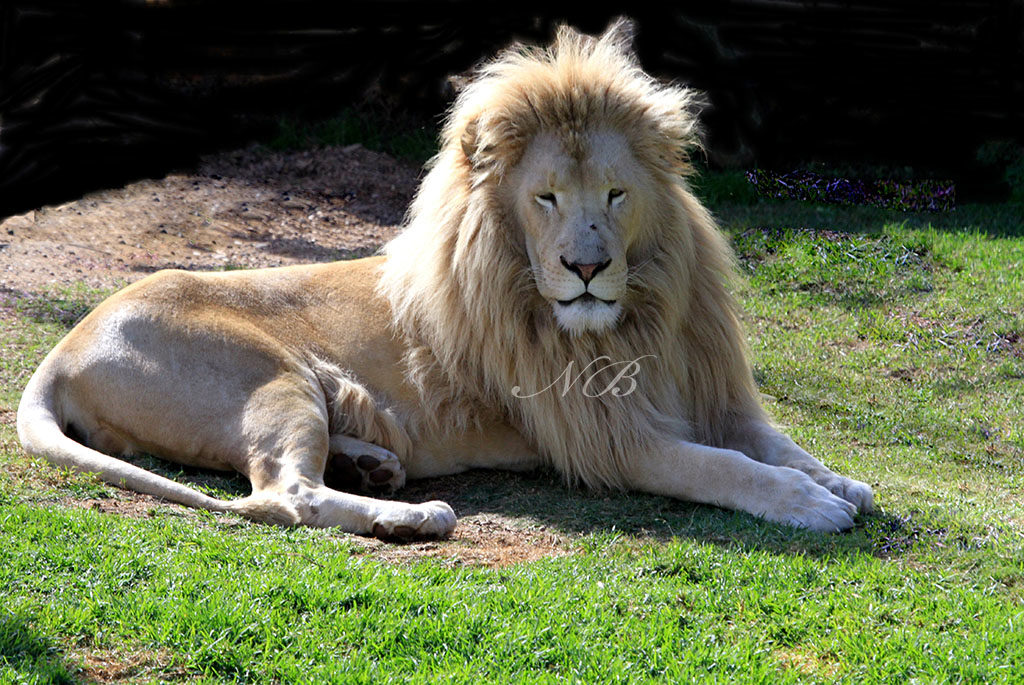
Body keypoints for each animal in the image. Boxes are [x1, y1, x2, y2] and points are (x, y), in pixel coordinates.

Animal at [16, 21, 872, 540]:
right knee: (282, 494)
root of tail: (63, 346)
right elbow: (722, 466)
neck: (640, 318)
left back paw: (375, 464)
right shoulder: (604, 437)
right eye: (546, 199)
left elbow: (777, 442)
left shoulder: (710, 394)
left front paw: (841, 481)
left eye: (616, 195)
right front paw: (810, 503)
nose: (587, 267)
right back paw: (414, 514)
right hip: (272, 377)